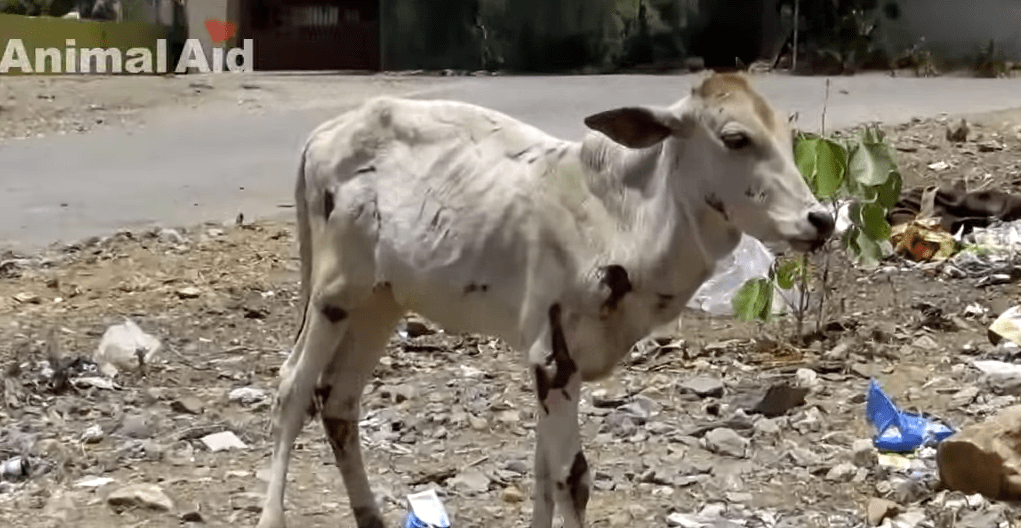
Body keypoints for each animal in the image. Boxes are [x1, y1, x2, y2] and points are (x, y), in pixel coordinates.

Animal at [255, 72, 835, 528]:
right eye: (736, 138)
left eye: (786, 136)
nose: (820, 219)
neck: (619, 217)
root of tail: (324, 135)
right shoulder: (554, 356)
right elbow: (571, 477)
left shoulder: (551, 359)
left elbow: (543, 475)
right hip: (334, 292)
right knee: (292, 388)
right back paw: (272, 515)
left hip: (381, 301)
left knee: (338, 400)